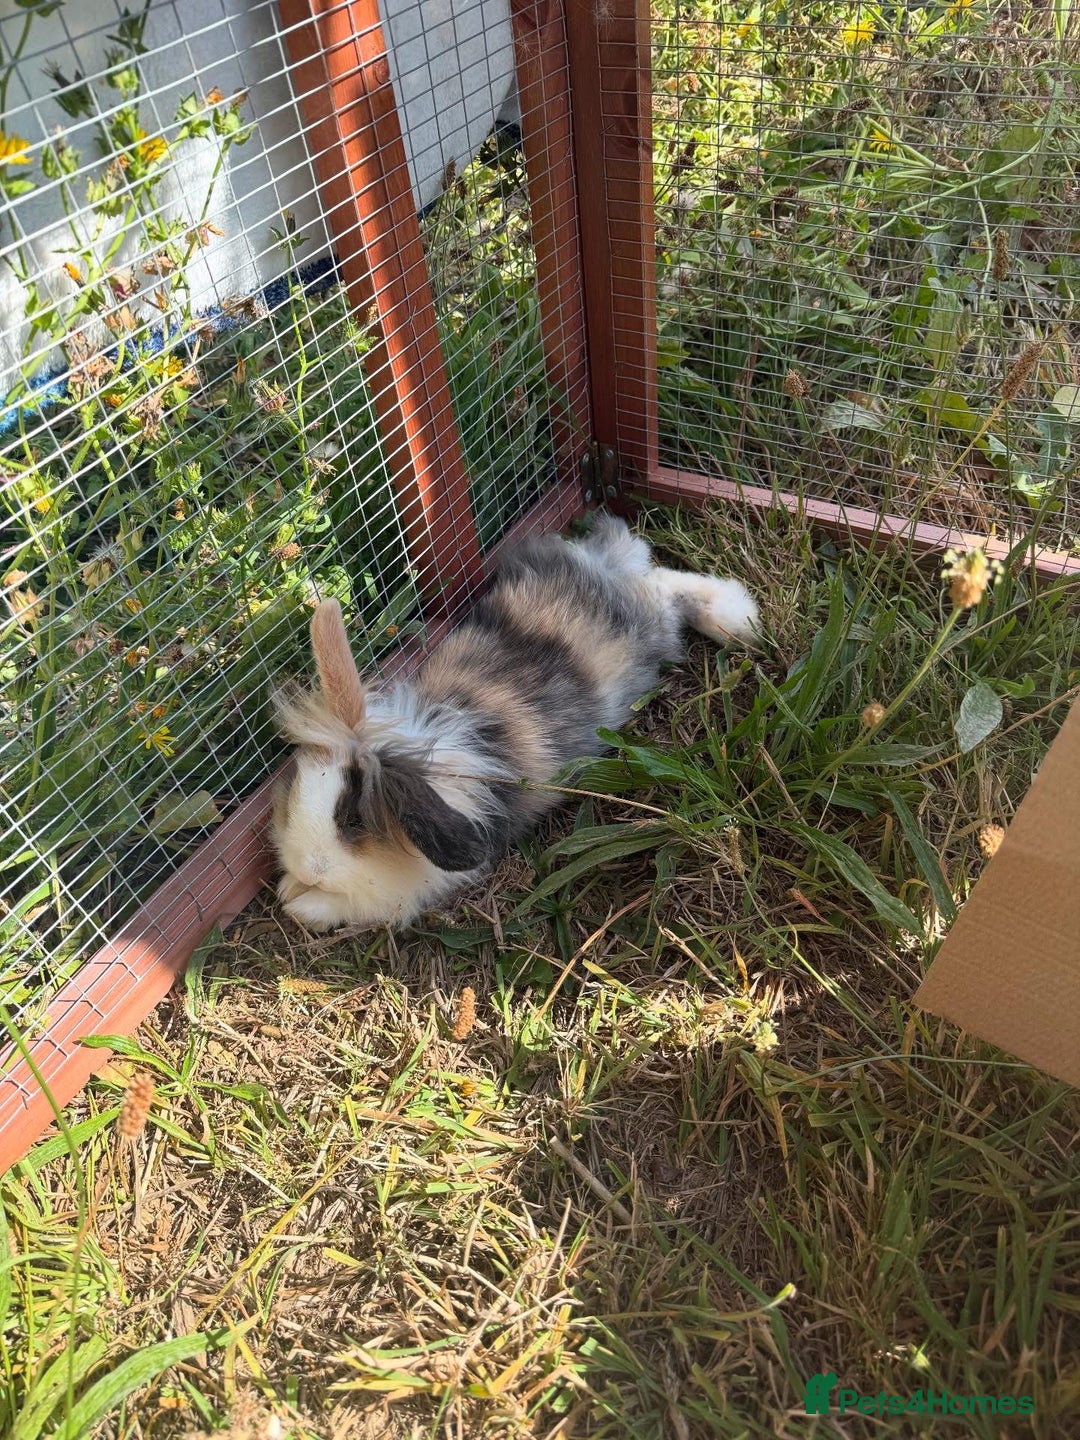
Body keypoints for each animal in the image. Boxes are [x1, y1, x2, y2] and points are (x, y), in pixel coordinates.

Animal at [272, 515, 759, 932]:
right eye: (295, 790)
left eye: (352, 819)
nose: (308, 866)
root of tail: (595, 566)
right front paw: (289, 888)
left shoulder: (427, 878)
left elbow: (358, 903)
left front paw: (299, 904)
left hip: (650, 625)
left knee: (666, 587)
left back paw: (738, 621)